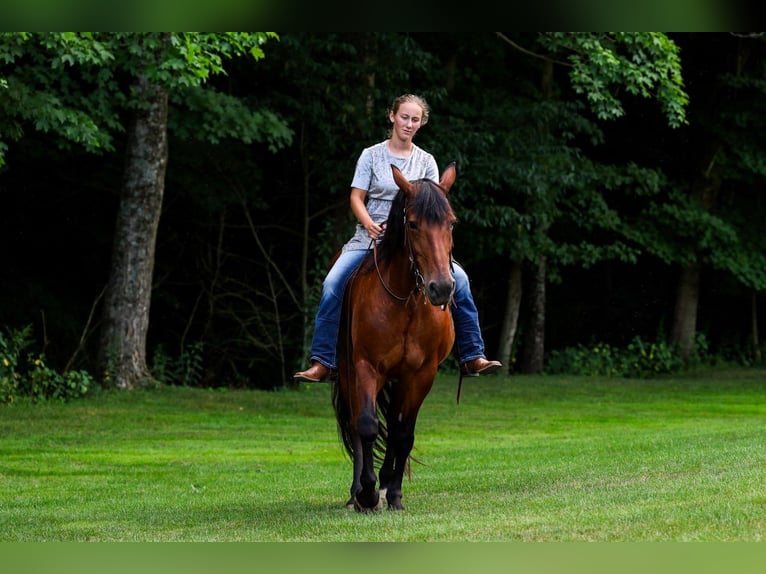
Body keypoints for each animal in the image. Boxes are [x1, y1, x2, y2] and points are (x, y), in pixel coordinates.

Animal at [332, 162, 458, 512]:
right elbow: (366, 425)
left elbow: (403, 434)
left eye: (451, 222)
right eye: (412, 224)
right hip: (349, 373)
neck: (406, 302)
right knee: (355, 424)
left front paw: (394, 493)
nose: (441, 288)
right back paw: (357, 494)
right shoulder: (365, 367)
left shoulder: (421, 374)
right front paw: (367, 492)